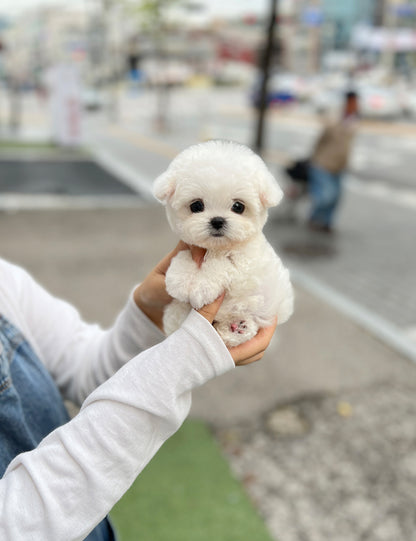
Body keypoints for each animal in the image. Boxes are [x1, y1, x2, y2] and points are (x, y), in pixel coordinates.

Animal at [154, 137, 294, 344]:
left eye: (238, 206)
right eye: (196, 205)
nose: (217, 221)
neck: (217, 247)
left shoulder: (247, 263)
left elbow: (223, 264)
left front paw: (202, 287)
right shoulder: (189, 246)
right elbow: (183, 256)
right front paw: (179, 280)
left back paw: (238, 328)